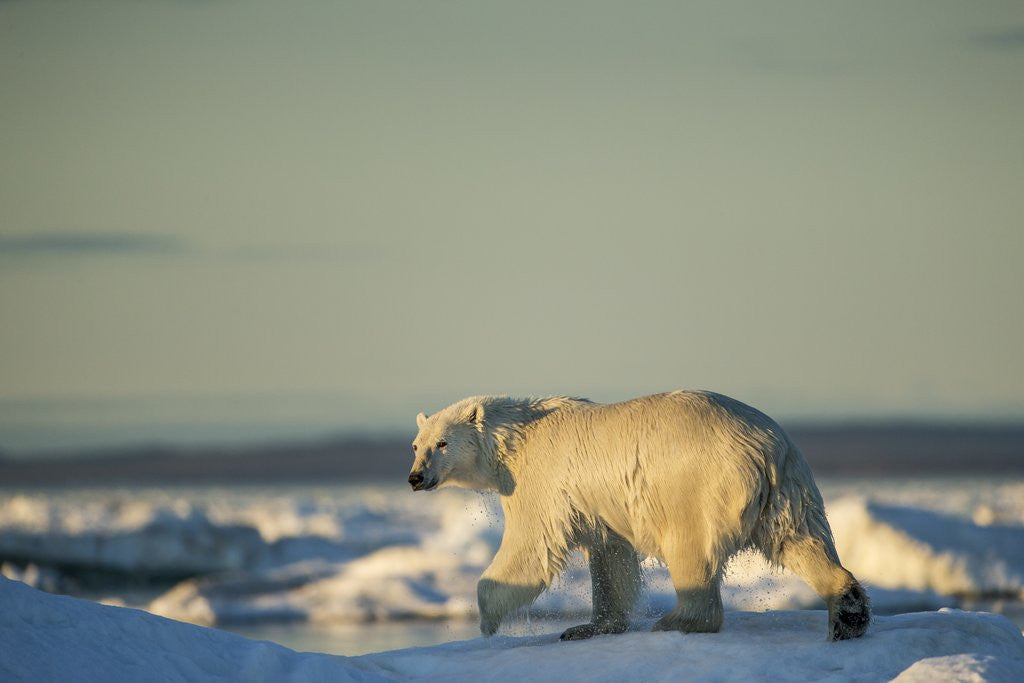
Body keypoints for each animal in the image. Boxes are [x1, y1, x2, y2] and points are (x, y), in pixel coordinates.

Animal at [408, 390, 870, 641]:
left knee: (691, 548)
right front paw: (588, 627)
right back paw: (848, 611)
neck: (517, 438)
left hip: (696, 484)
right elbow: (610, 557)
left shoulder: (539, 481)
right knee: (800, 540)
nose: (415, 477)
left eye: (442, 443)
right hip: (789, 487)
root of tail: (763, 447)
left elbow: (532, 545)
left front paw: (487, 621)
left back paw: (676, 620)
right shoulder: (596, 506)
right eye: (416, 444)